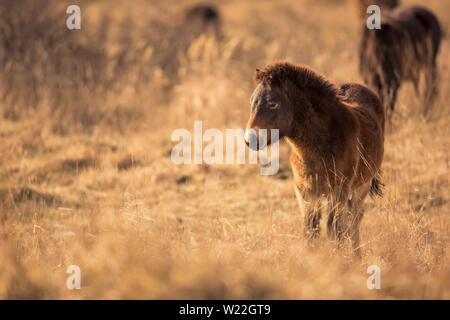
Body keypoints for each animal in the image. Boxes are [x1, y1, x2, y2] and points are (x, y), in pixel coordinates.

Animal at [244, 61, 384, 254]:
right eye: (252, 102)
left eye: (273, 104)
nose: (250, 139)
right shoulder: (305, 190)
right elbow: (311, 229)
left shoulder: (339, 188)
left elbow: (334, 228)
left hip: (362, 185)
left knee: (354, 219)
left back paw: (356, 255)